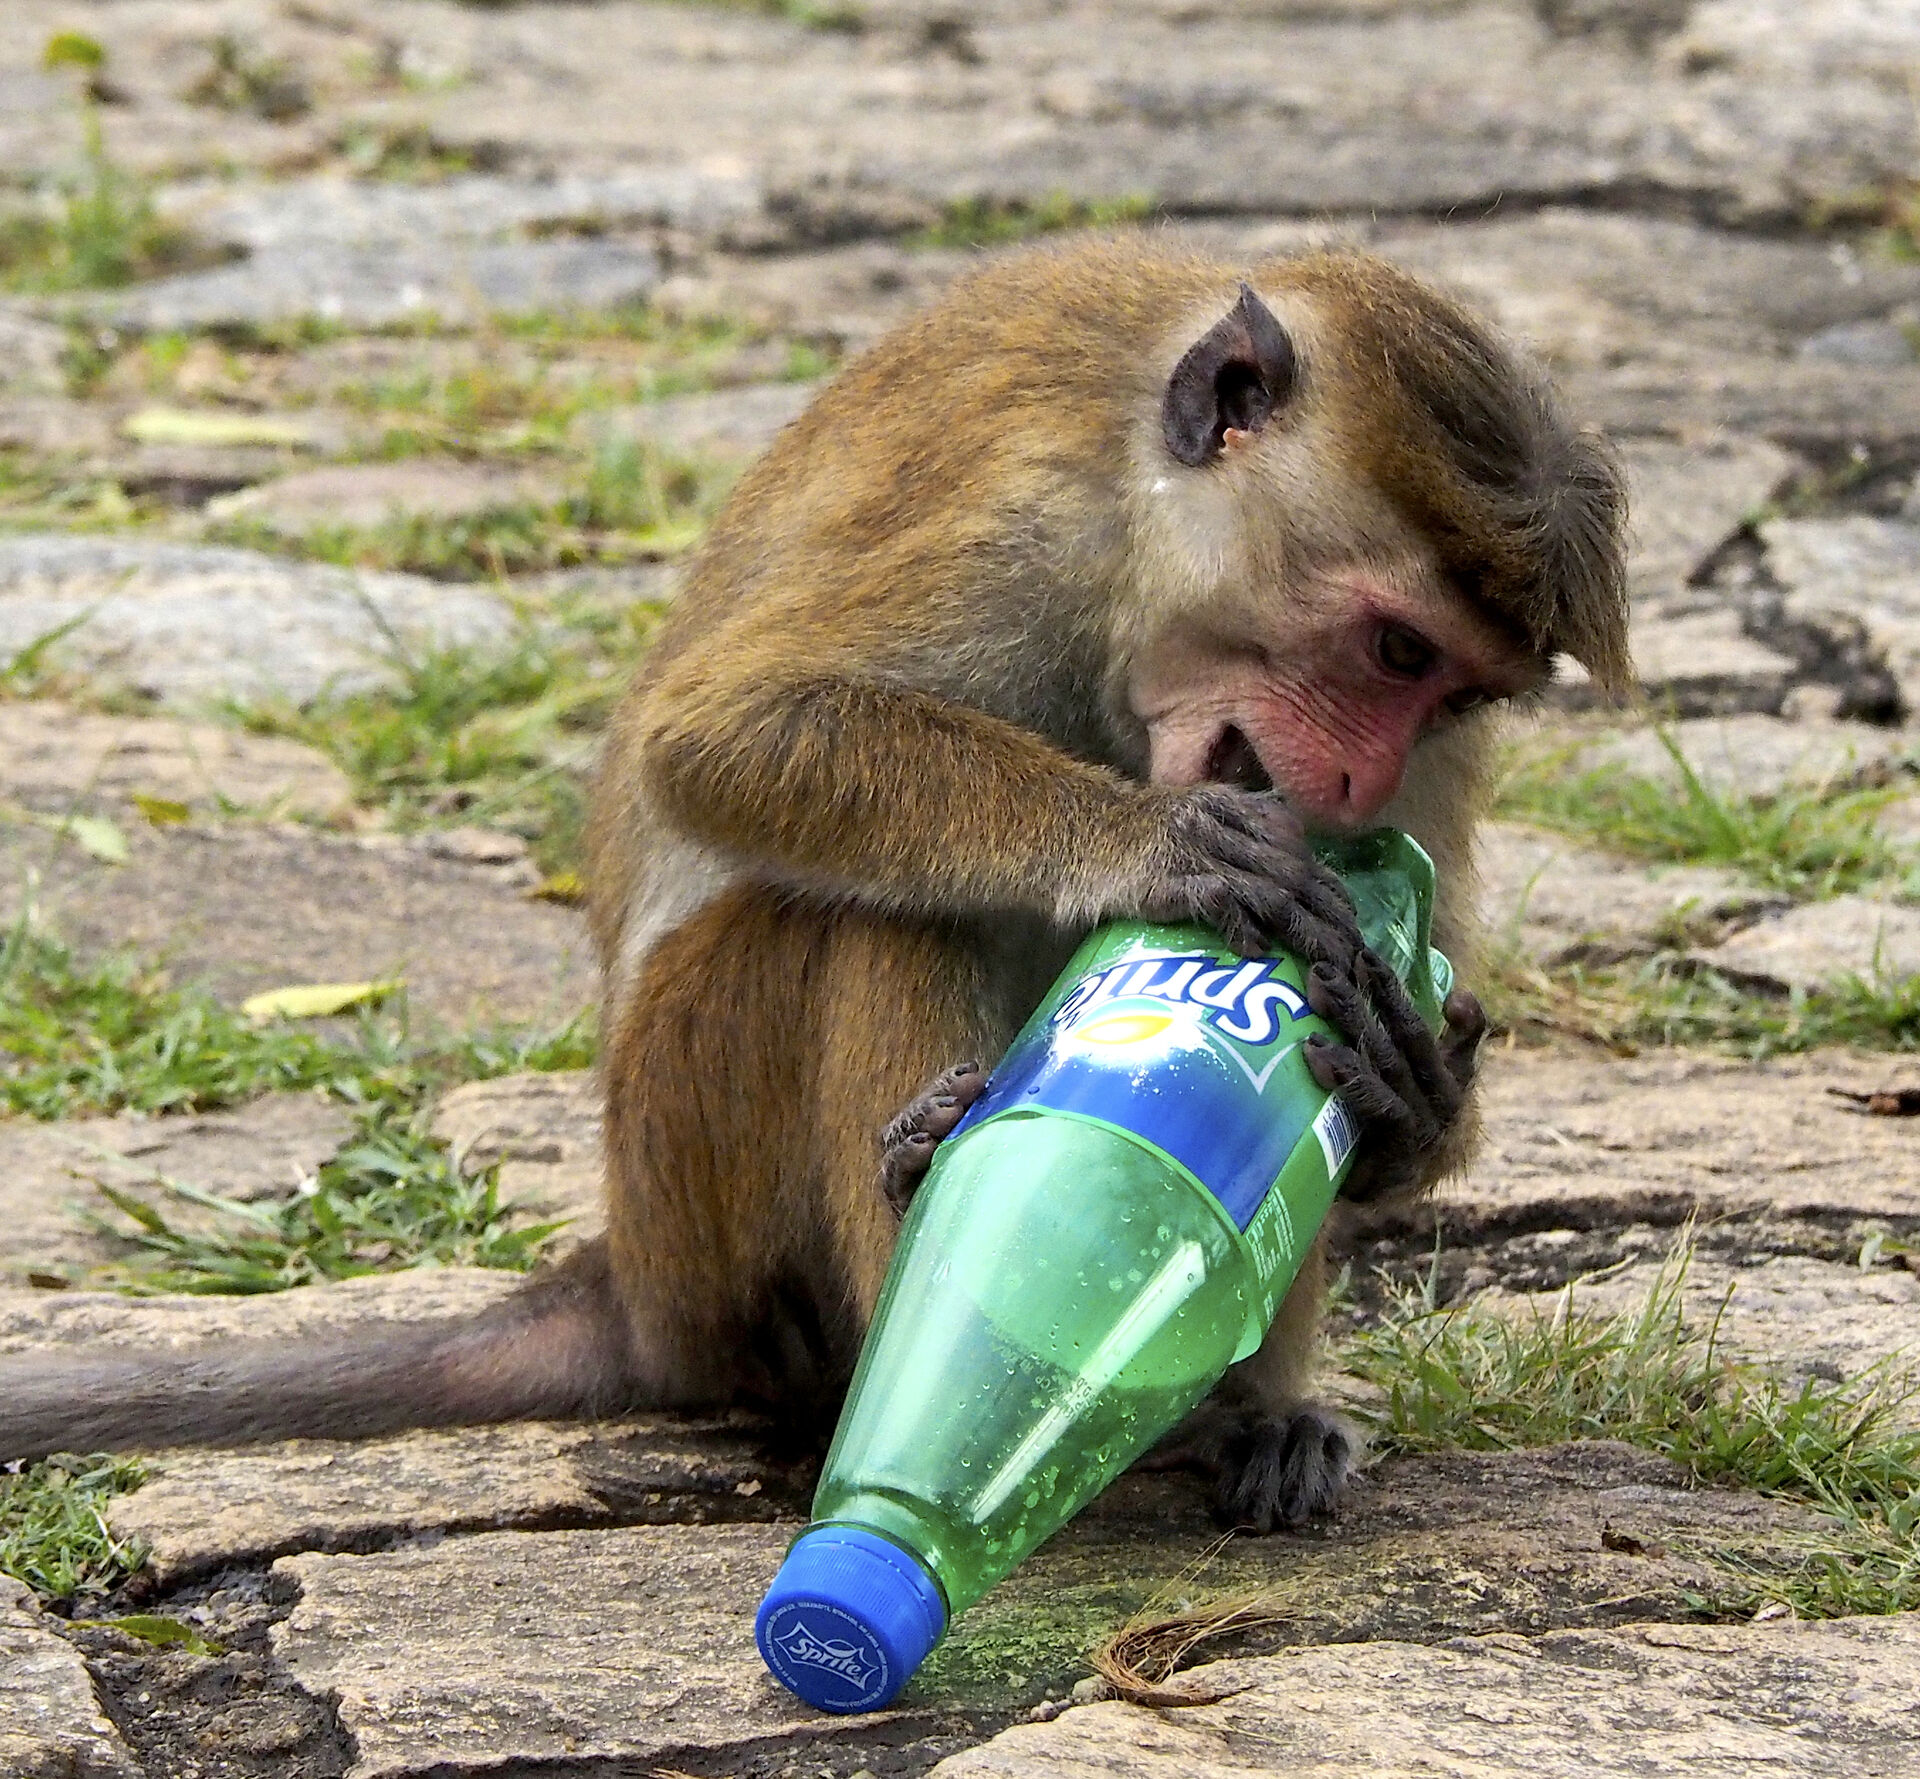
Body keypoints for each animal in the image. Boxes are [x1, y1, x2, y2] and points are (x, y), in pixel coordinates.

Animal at [0, 238, 1627, 1533]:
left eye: (1451, 694)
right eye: (1393, 649)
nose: (1353, 786)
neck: (1138, 526)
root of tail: (638, 1284)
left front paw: (1412, 1095)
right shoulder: (1021, 520)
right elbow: (723, 732)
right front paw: (1144, 841)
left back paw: (1237, 1411)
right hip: (688, 1156)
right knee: (853, 914)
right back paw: (936, 1245)